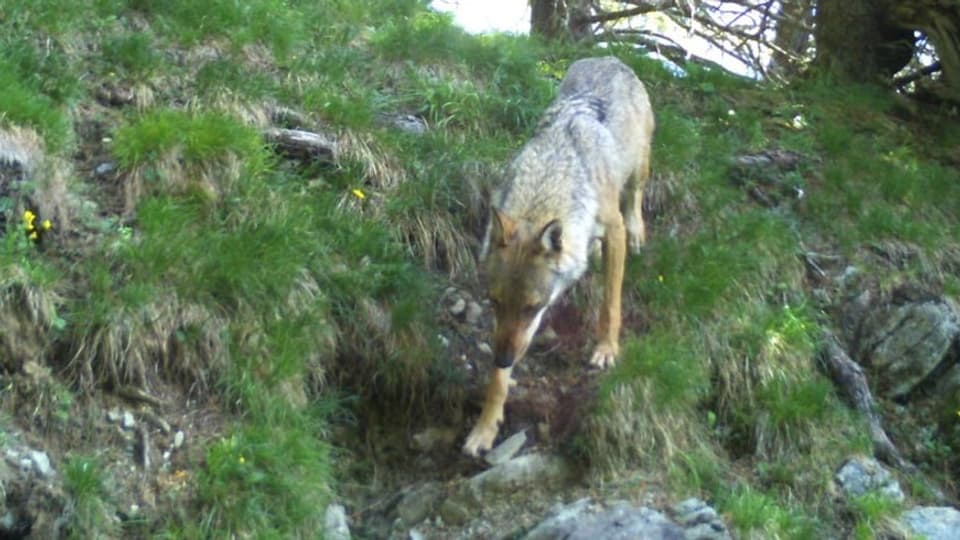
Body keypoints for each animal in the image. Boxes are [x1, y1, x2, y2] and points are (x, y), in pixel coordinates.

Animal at [464, 56, 656, 456]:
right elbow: (498, 381)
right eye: (494, 302)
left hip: (638, 167)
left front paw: (606, 349)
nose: (503, 358)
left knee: (635, 196)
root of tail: (609, 57)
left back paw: (637, 232)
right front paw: (485, 427)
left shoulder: (612, 229)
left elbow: (610, 303)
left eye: (533, 308)